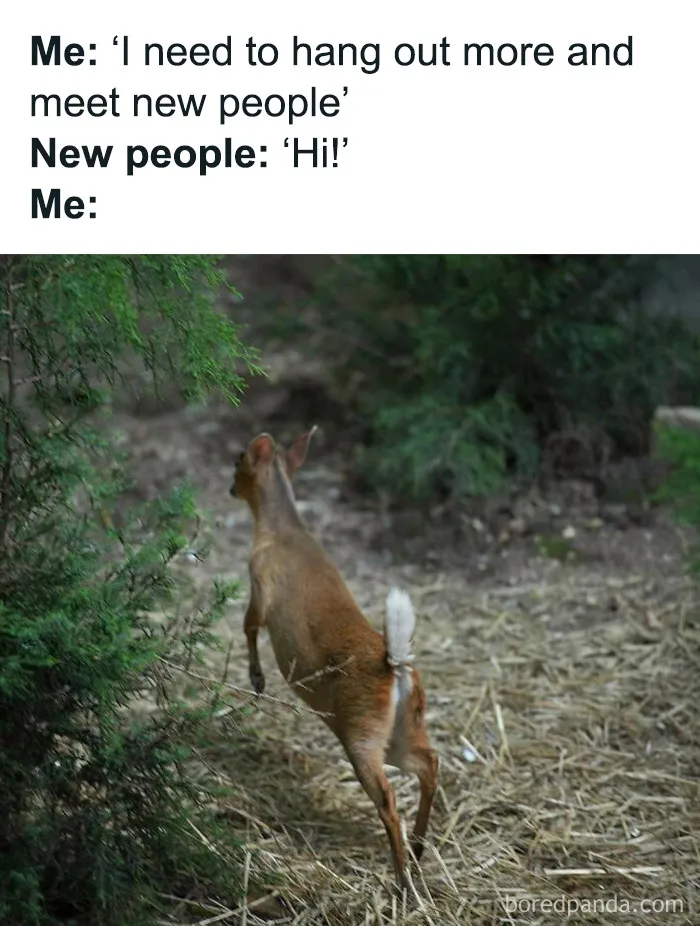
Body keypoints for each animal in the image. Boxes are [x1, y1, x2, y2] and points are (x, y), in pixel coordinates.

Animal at [230, 427, 438, 893]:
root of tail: (394, 666)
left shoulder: (260, 580)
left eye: (237, 460)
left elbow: (248, 625)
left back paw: (401, 878)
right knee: (430, 764)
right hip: (399, 730)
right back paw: (417, 851)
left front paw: (257, 678)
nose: (230, 487)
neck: (282, 530)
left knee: (389, 797)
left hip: (361, 733)